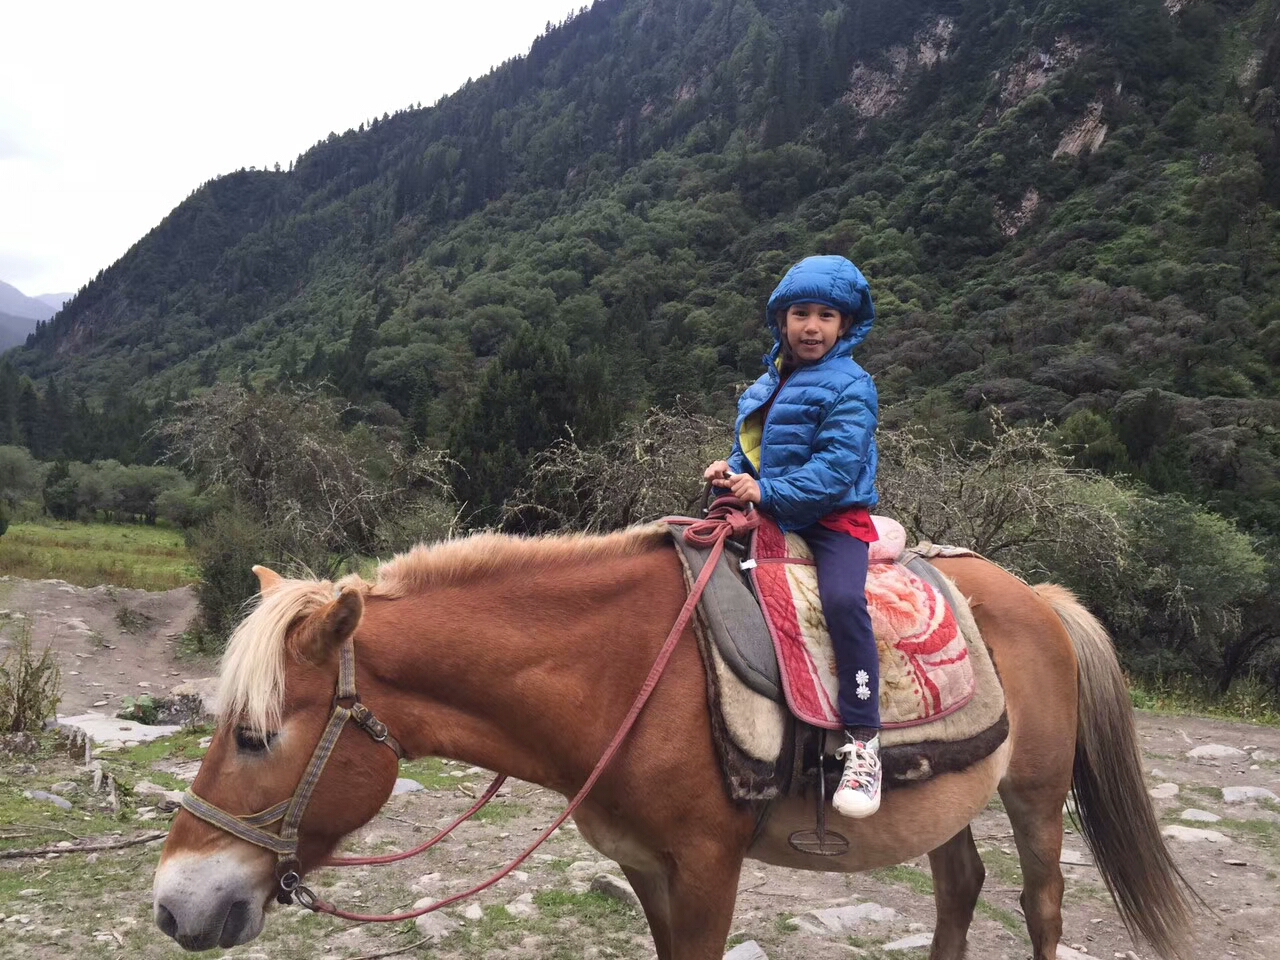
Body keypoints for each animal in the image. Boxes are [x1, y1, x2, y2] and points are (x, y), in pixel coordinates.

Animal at [149, 529, 1198, 957]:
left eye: (255, 735)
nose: (171, 906)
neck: (623, 676)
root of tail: (1042, 600)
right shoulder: (647, 868)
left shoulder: (705, 870)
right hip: (952, 794)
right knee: (960, 891)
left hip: (1034, 797)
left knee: (1041, 908)